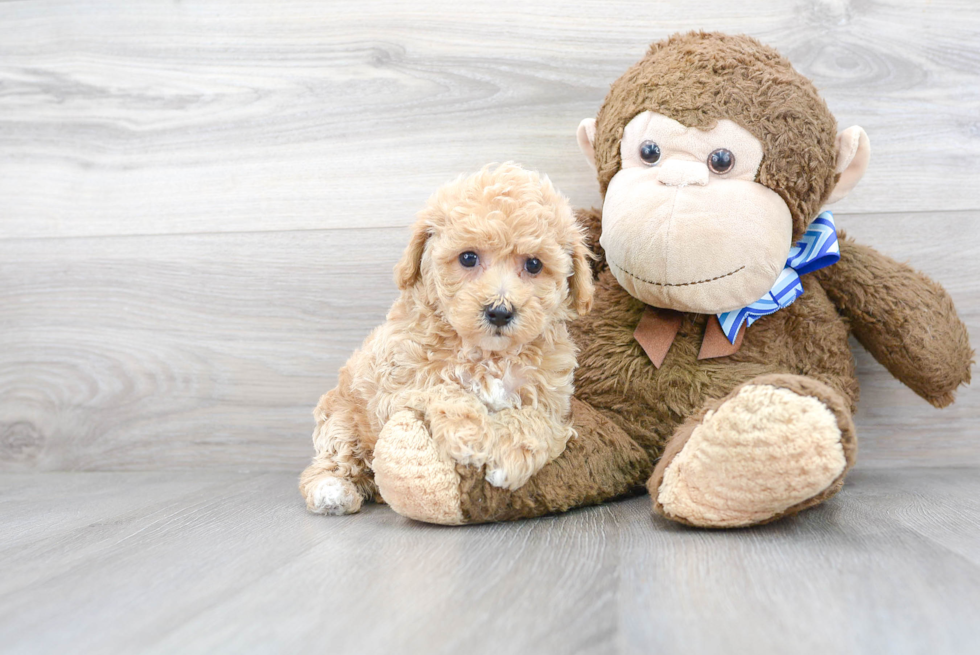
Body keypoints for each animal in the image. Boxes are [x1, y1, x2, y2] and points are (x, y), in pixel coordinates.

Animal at [298, 161, 592, 516]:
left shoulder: (552, 400)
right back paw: (332, 491)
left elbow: (536, 419)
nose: (499, 311)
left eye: (534, 264)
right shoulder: (398, 385)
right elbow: (443, 389)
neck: (488, 354)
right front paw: (472, 436)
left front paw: (508, 456)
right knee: (331, 461)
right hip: (342, 421)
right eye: (468, 258)